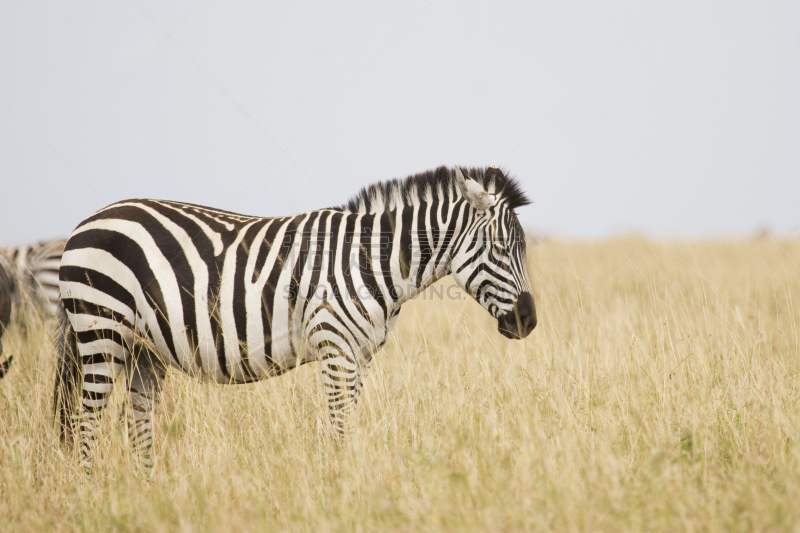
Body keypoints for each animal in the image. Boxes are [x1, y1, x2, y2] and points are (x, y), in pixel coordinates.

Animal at [53, 165, 536, 470]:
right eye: (500, 248)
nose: (528, 321)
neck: (372, 261)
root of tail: (84, 224)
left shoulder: (360, 355)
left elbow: (347, 423)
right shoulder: (335, 347)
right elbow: (340, 426)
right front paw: (341, 486)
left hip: (144, 350)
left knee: (137, 424)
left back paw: (147, 491)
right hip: (102, 331)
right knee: (85, 423)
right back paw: (90, 491)